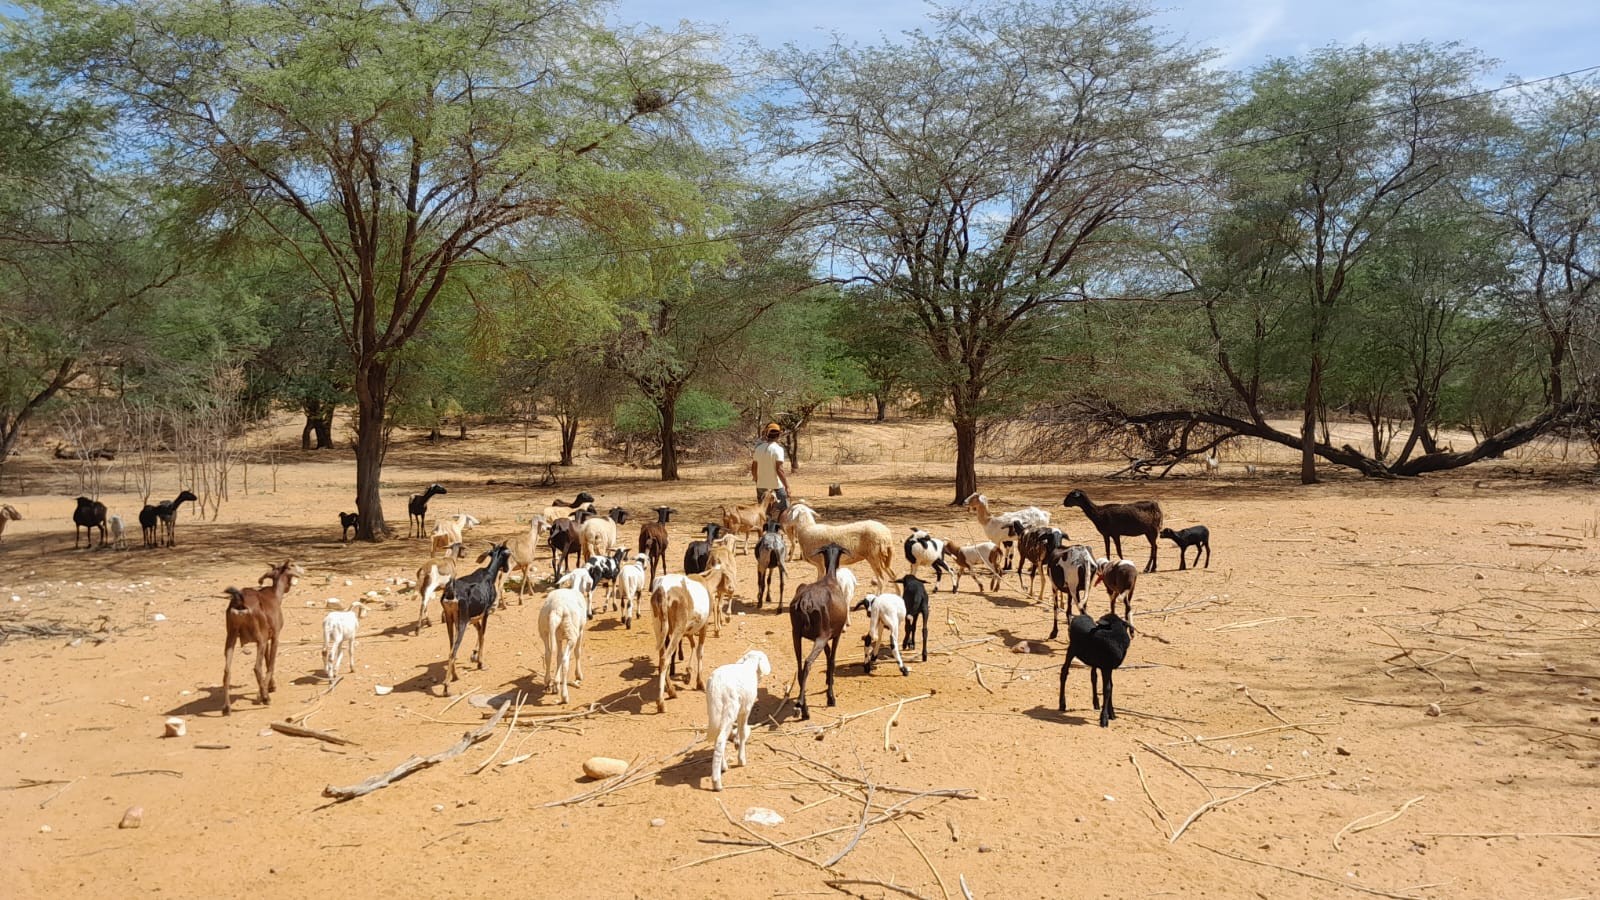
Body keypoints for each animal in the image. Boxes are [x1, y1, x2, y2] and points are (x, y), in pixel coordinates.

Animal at [222, 557, 302, 711]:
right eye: (292, 565)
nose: (302, 570)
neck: (274, 594)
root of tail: (240, 602)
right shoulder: (275, 636)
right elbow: (271, 663)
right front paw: (263, 692)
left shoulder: (267, 637)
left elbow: (267, 659)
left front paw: (269, 686)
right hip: (259, 639)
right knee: (256, 667)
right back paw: (266, 699)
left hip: (231, 637)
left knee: (227, 671)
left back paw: (226, 708)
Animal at [441, 538, 508, 685]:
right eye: (508, 553)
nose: (506, 568)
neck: (489, 575)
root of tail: (451, 594)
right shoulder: (486, 611)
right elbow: (483, 634)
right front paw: (480, 663)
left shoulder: (474, 617)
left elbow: (479, 631)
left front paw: (474, 655)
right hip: (461, 621)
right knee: (453, 651)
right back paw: (447, 684)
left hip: (450, 619)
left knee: (451, 647)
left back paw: (454, 675)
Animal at [704, 646, 771, 787]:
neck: (749, 666)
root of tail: (716, 685)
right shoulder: (745, 709)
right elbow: (743, 731)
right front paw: (741, 760)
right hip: (730, 708)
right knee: (720, 740)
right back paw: (717, 782)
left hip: (713, 708)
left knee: (717, 736)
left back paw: (723, 766)